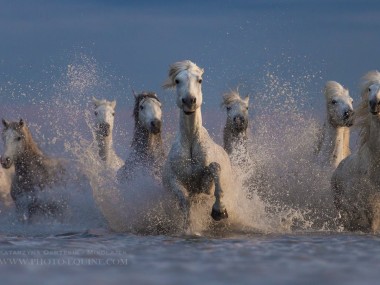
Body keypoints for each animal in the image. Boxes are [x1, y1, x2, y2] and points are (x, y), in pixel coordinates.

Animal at [163, 60, 235, 226]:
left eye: (200, 80)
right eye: (177, 80)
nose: (189, 101)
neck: (191, 142)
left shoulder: (205, 185)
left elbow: (214, 169)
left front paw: (219, 211)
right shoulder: (174, 180)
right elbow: (185, 200)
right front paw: (188, 226)